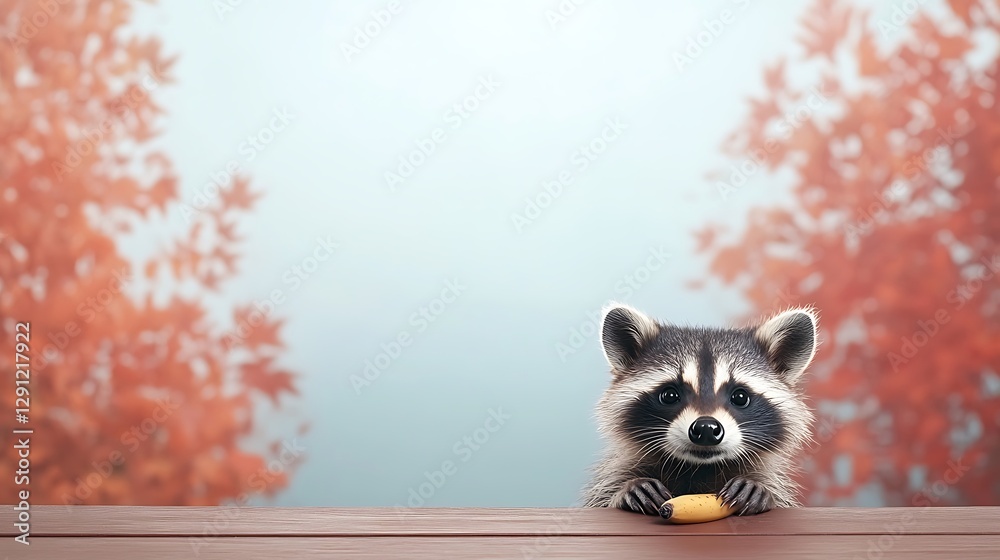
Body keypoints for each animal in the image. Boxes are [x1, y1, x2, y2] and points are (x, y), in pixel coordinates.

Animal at [580, 303, 818, 516]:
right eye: (669, 395)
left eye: (740, 397)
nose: (706, 428)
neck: (697, 468)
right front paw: (627, 490)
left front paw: (759, 489)